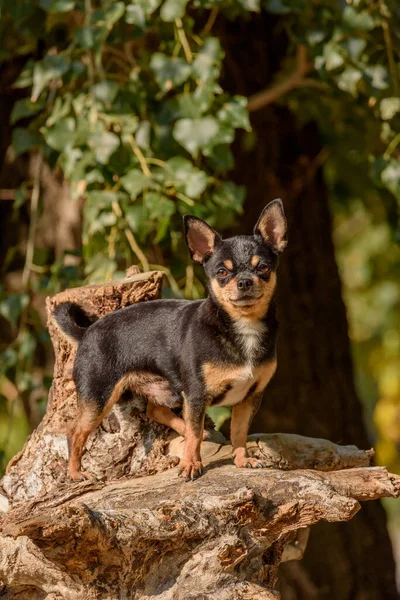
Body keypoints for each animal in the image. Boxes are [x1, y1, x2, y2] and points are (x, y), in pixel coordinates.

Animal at [53, 199, 288, 480]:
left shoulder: (249, 397)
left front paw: (242, 460)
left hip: (167, 390)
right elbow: (196, 435)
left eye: (263, 268)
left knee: (156, 411)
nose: (244, 281)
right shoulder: (197, 395)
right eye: (221, 272)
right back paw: (76, 473)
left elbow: (238, 433)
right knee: (74, 432)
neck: (241, 327)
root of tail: (87, 332)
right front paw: (190, 465)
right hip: (98, 398)